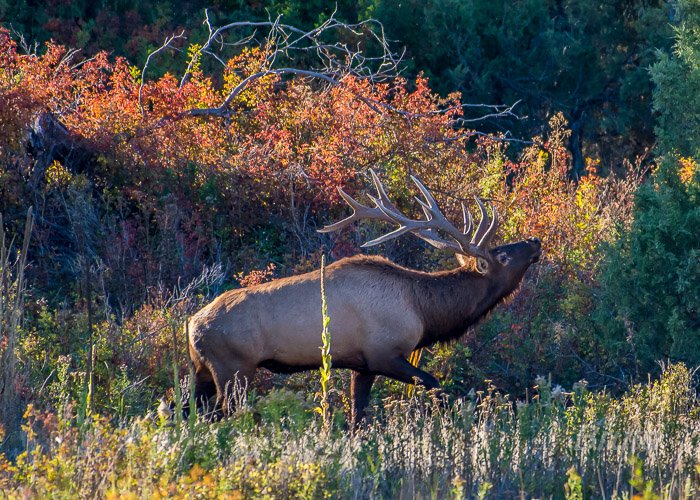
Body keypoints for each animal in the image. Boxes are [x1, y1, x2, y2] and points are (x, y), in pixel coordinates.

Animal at [186, 170, 540, 424]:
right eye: (503, 255)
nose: (535, 242)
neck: (424, 312)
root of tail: (191, 325)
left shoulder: (364, 364)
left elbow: (358, 416)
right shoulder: (384, 353)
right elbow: (437, 386)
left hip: (202, 369)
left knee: (193, 411)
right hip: (233, 367)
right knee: (223, 413)